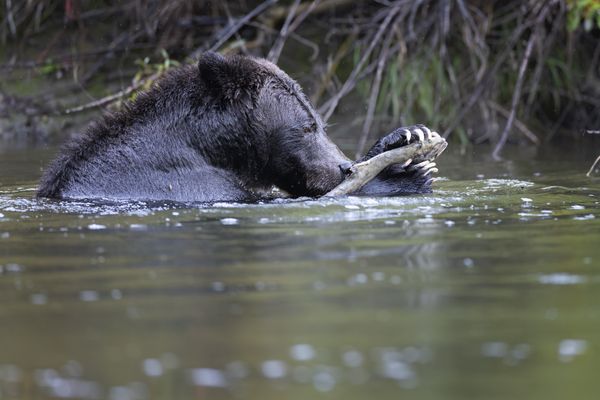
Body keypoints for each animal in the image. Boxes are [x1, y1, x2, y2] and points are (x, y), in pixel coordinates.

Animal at [38, 52, 440, 203]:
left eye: (321, 123)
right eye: (307, 127)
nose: (343, 166)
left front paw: (406, 139)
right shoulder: (189, 182)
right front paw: (411, 172)